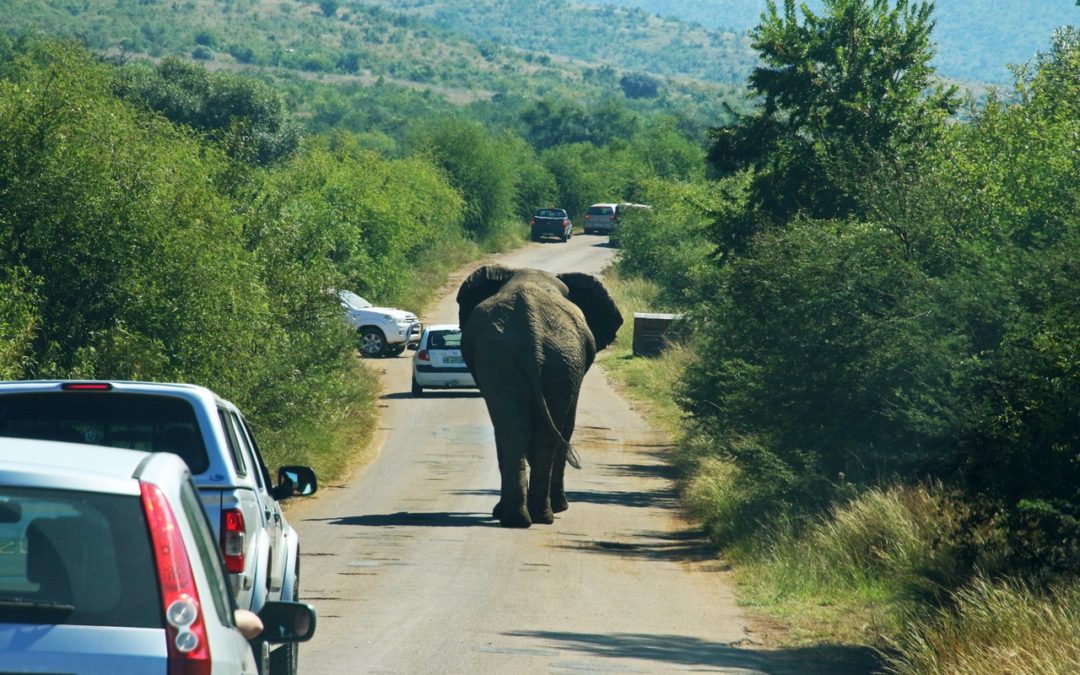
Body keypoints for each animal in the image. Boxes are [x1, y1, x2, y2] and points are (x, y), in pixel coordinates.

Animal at [455, 263, 626, 527]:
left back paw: (520, 518)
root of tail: (531, 335)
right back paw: (540, 515)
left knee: (515, 431)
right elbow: (567, 427)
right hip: (553, 360)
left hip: (512, 358)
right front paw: (561, 507)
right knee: (542, 434)